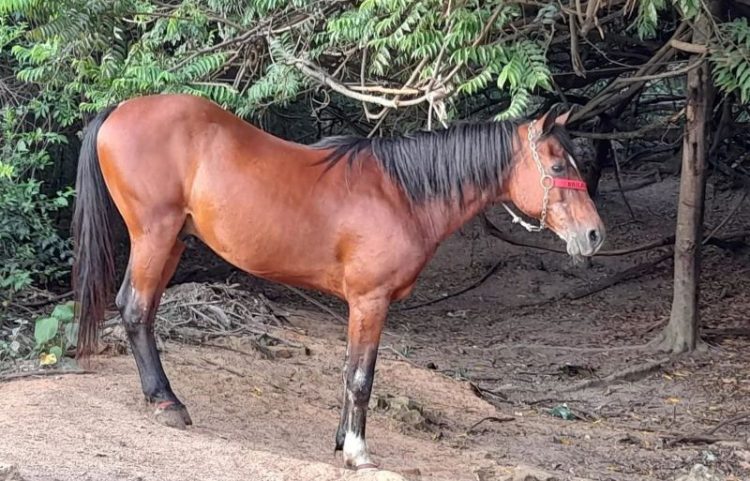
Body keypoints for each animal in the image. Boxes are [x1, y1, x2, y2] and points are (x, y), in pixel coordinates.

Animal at [72, 93, 605, 471]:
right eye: (558, 166)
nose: (594, 235)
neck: (401, 193)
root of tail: (120, 109)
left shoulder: (359, 305)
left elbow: (349, 369)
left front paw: (341, 439)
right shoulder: (371, 301)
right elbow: (362, 377)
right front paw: (357, 451)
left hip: (173, 241)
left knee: (144, 312)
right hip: (154, 235)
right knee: (135, 308)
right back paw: (167, 404)